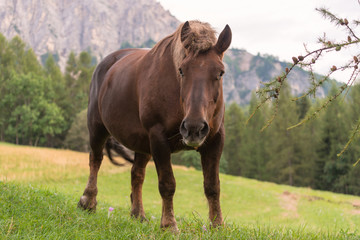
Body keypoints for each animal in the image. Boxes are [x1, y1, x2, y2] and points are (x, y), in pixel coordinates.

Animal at [77, 20, 232, 231]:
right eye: (181, 70)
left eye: (220, 73)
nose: (194, 128)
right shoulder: (158, 137)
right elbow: (167, 184)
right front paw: (169, 225)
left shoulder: (215, 139)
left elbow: (212, 186)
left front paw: (217, 225)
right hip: (97, 128)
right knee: (96, 160)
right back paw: (88, 201)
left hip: (142, 143)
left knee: (136, 173)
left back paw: (138, 214)